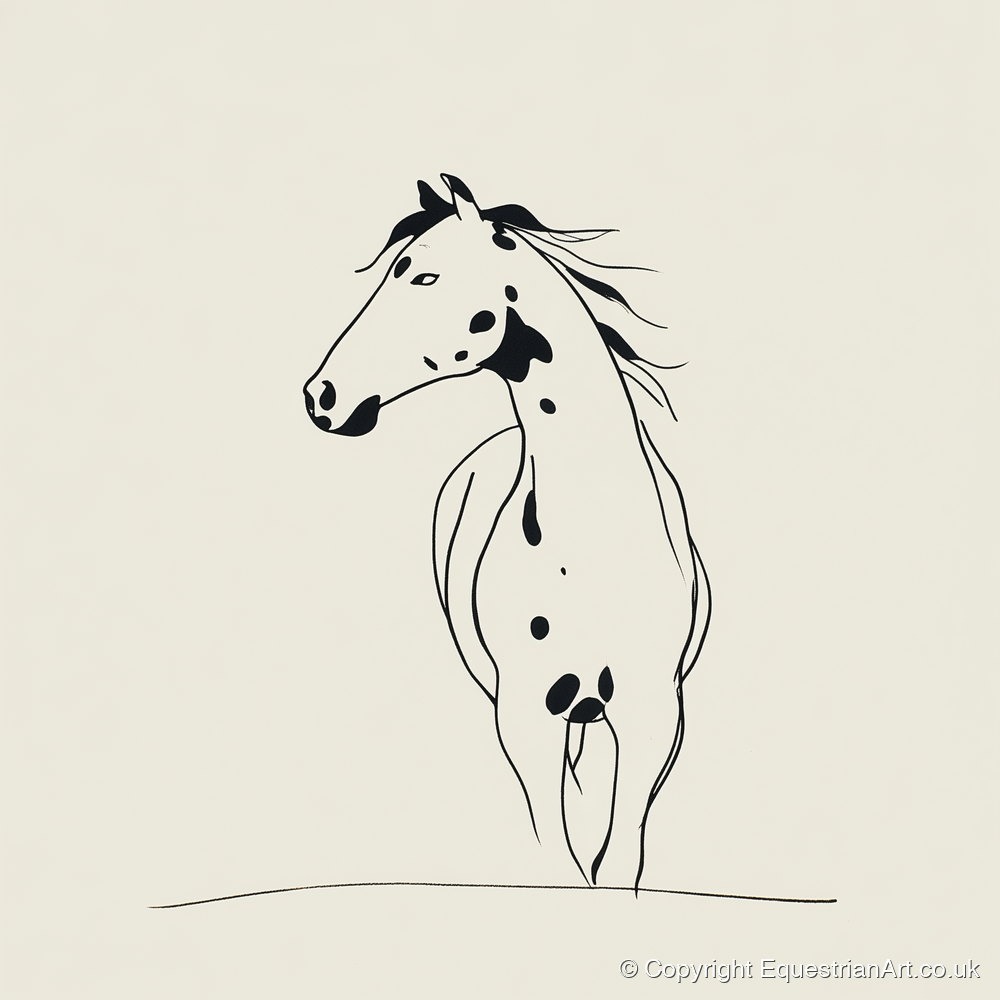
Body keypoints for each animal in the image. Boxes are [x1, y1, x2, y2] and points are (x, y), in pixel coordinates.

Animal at [303, 174, 711, 891]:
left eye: (426, 275)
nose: (321, 396)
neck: (593, 545)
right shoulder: (527, 715)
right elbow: (559, 858)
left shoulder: (655, 718)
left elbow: (617, 860)